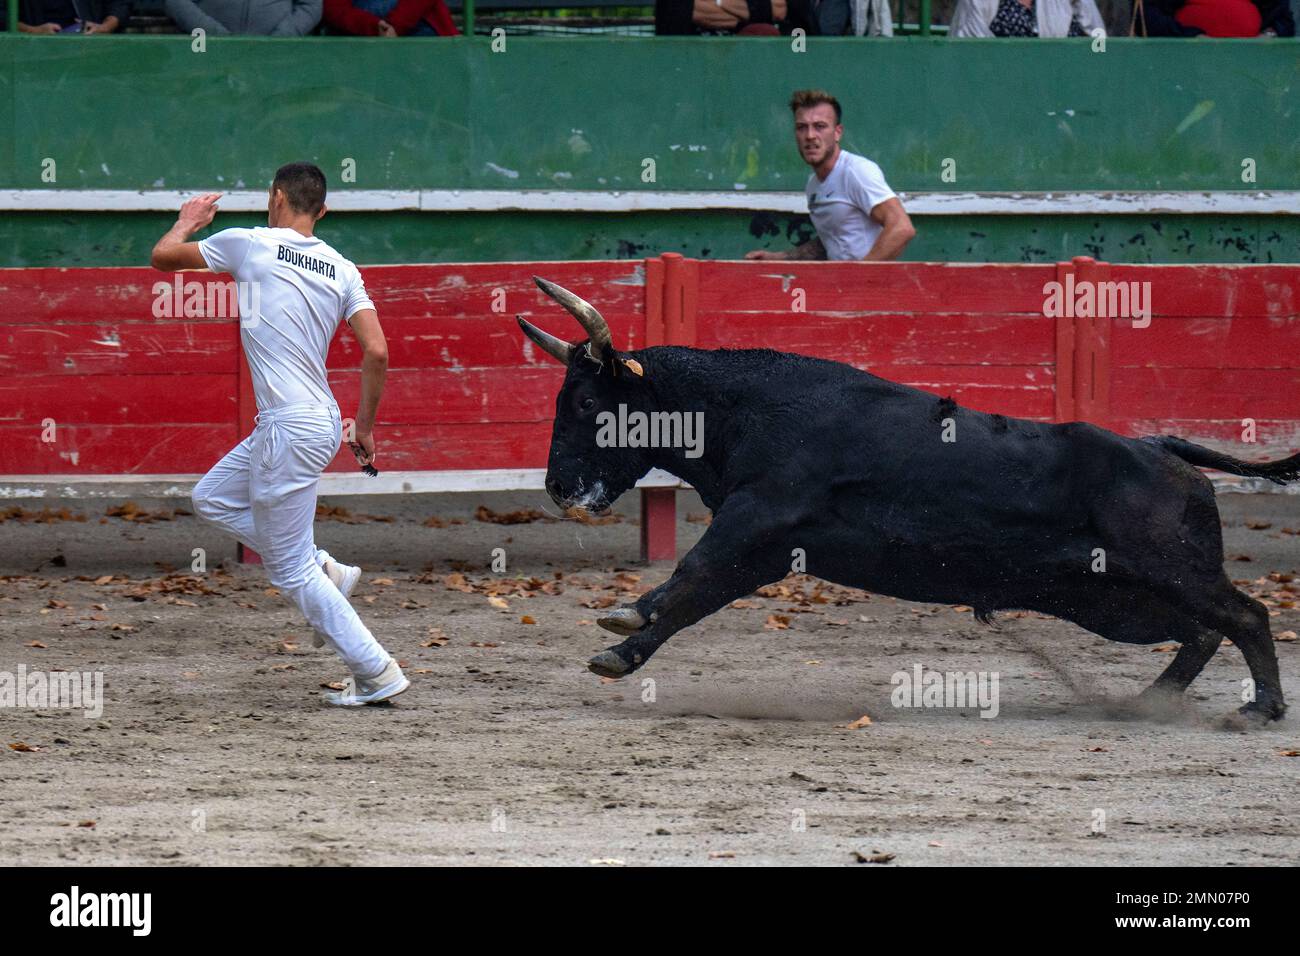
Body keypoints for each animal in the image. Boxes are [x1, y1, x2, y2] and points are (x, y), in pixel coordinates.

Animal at [517, 278, 1300, 723]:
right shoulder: (767, 549)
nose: (557, 488)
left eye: (586, 401)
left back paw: (1261, 707)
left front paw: (626, 616)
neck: (744, 408)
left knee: (1245, 614)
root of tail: (1164, 450)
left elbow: (689, 573)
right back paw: (1150, 704)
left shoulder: (757, 515)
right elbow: (694, 599)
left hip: (1164, 570)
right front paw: (623, 652)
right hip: (1115, 600)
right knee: (1200, 631)